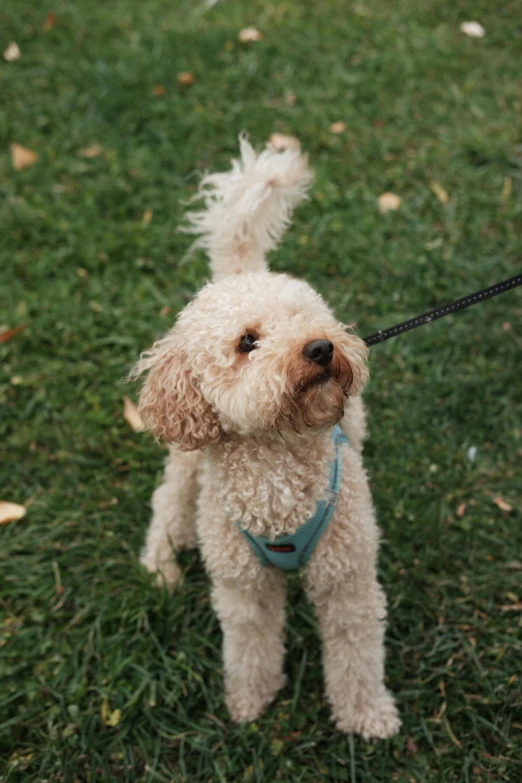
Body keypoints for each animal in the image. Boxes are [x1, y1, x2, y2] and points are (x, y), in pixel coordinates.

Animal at [130, 136, 398, 740]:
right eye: (247, 342)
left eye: (304, 318)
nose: (321, 348)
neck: (276, 458)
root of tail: (238, 270)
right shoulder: (242, 589)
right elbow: (249, 647)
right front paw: (250, 702)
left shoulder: (348, 578)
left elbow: (356, 654)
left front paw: (366, 715)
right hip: (187, 460)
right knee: (168, 501)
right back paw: (160, 564)